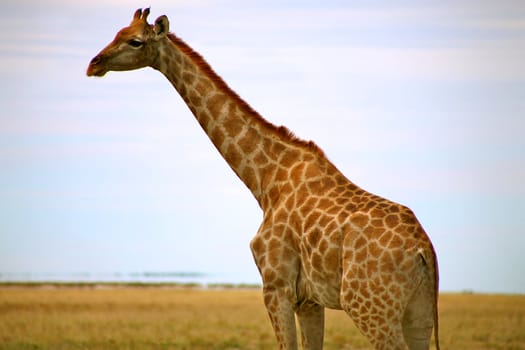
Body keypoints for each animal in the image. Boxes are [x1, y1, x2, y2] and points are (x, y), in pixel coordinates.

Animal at [88, 8, 440, 350]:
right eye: (116, 32)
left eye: (134, 41)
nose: (94, 64)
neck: (265, 179)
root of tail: (424, 251)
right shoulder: (309, 299)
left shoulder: (276, 286)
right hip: (418, 314)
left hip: (369, 306)